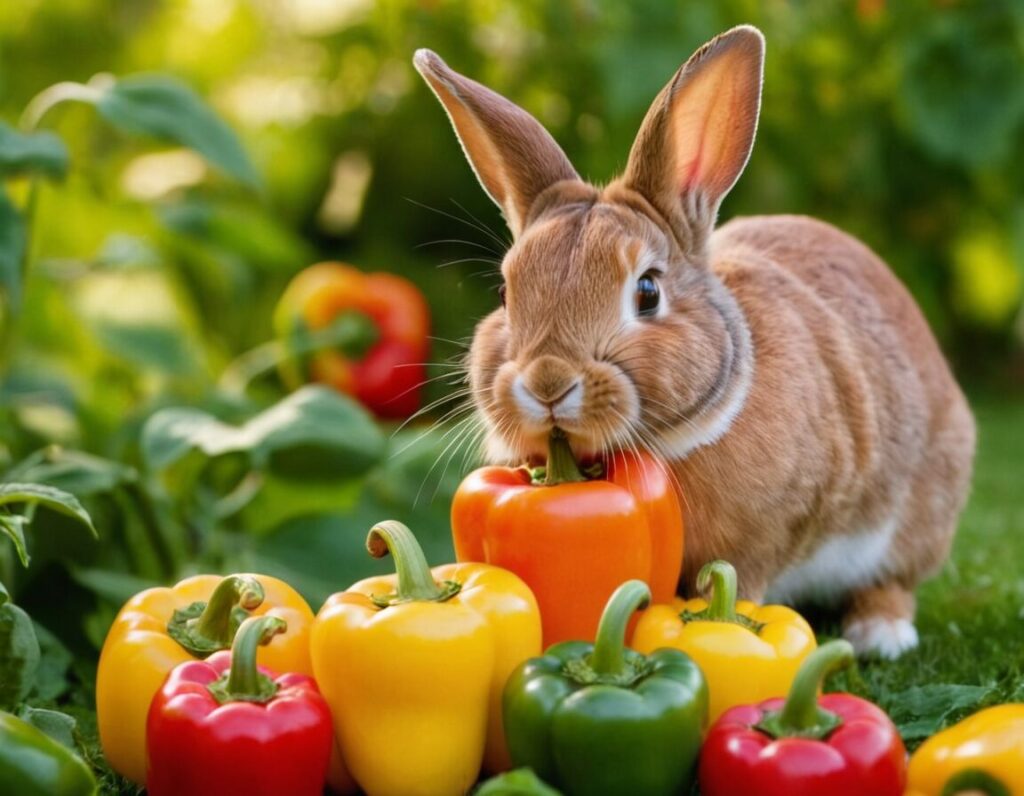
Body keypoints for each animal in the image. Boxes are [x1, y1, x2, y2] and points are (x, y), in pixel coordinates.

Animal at [413, 26, 974, 659]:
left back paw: (881, 635)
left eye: (648, 292)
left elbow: (739, 581)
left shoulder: (767, 536)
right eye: (505, 292)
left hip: (919, 513)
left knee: (894, 580)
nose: (548, 383)